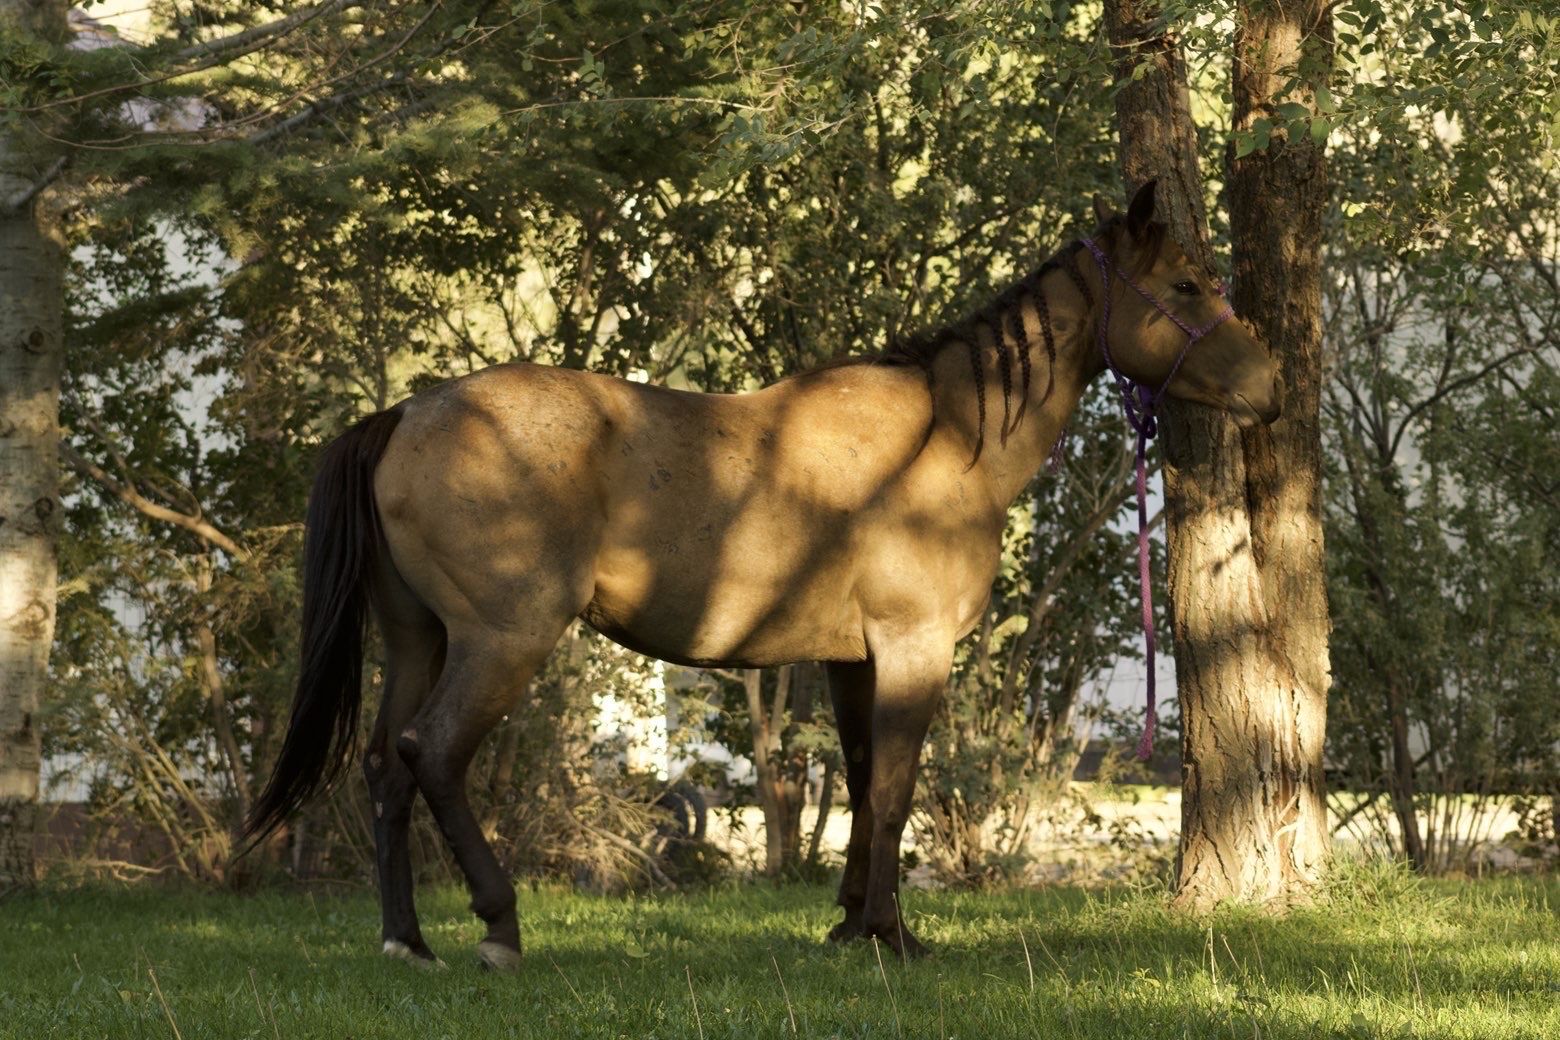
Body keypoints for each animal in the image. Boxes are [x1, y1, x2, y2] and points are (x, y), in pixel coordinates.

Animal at [243, 181, 1280, 969]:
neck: (942, 439)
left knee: (384, 764)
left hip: (417, 636)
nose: (1270, 388)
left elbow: (861, 784)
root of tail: (407, 414)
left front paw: (853, 926)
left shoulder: (853, 661)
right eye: (1187, 284)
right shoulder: (911, 650)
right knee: (433, 754)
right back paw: (498, 926)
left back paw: (407, 940)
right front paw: (893, 936)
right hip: (502, 640)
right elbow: (895, 790)